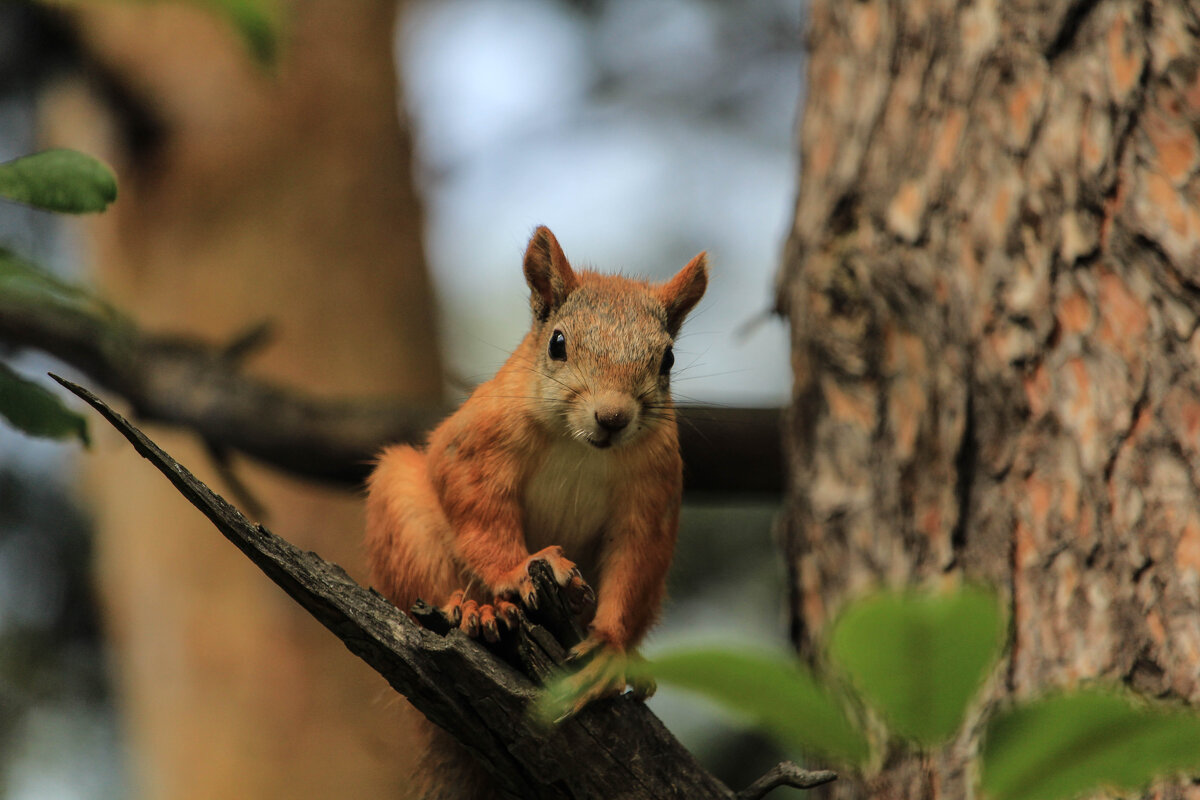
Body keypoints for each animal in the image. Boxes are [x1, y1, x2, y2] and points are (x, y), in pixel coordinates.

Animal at [362, 226, 700, 800]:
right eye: (557, 344)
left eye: (668, 360)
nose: (612, 417)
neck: (582, 446)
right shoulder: (478, 445)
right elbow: (480, 510)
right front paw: (519, 571)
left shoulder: (653, 492)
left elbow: (634, 561)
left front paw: (609, 649)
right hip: (400, 509)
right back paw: (476, 611)